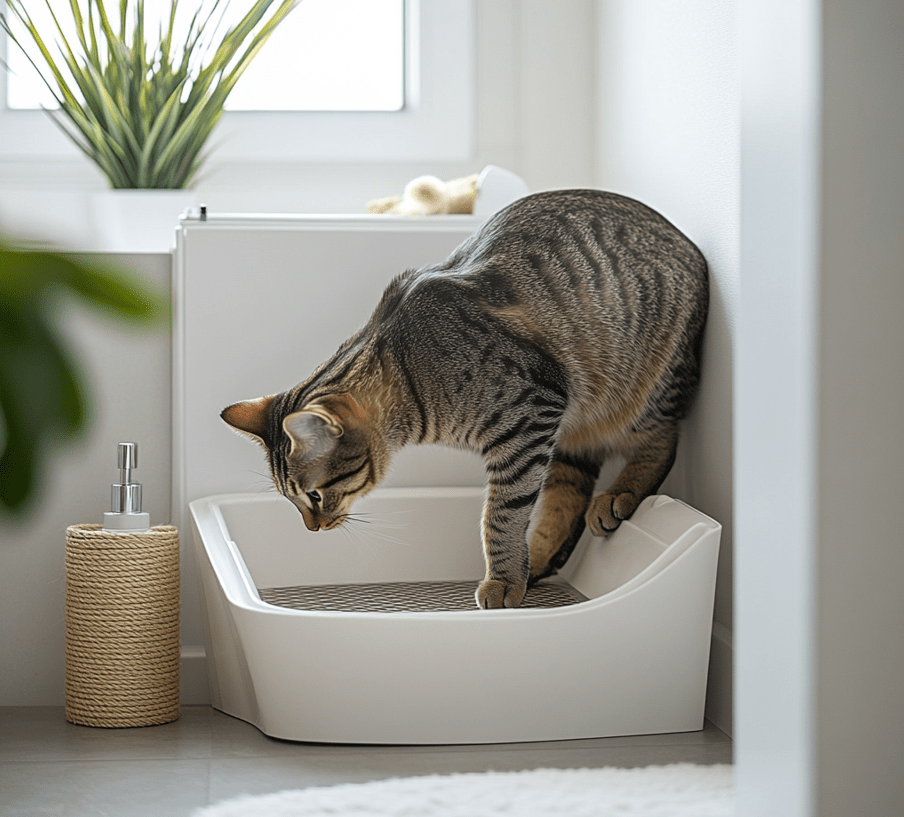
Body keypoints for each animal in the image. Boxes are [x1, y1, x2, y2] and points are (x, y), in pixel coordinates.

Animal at [222, 190, 708, 604]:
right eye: (292, 499)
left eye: (315, 496)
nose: (313, 529)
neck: (409, 370)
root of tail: (690, 244)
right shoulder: (547, 423)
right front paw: (517, 571)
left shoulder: (530, 418)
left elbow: (501, 515)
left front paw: (502, 580)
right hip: (575, 428)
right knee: (570, 491)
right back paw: (539, 559)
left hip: (643, 387)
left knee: (662, 439)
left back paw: (619, 494)